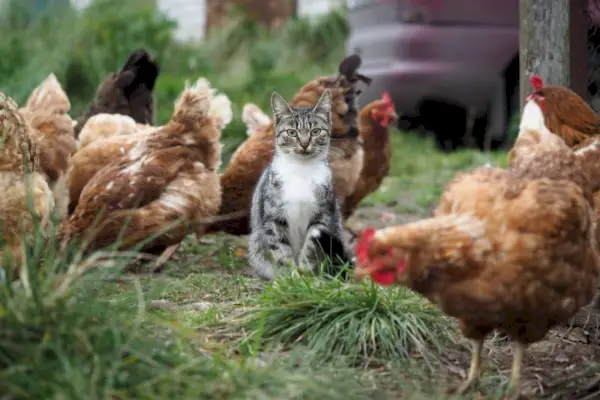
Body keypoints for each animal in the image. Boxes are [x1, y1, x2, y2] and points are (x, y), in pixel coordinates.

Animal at [247, 89, 352, 280]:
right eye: (292, 132)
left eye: (316, 131)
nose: (304, 143)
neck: (301, 171)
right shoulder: (275, 219)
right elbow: (282, 251)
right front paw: (291, 277)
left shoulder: (322, 217)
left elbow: (310, 246)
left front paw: (305, 274)